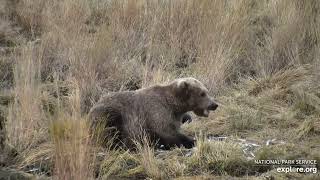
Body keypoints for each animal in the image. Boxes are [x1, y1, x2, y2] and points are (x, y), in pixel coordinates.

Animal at [87, 77, 218, 149]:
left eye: (206, 91)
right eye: (202, 93)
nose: (214, 104)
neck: (174, 105)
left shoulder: (174, 115)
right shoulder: (156, 112)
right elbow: (167, 132)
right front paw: (192, 140)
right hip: (110, 113)